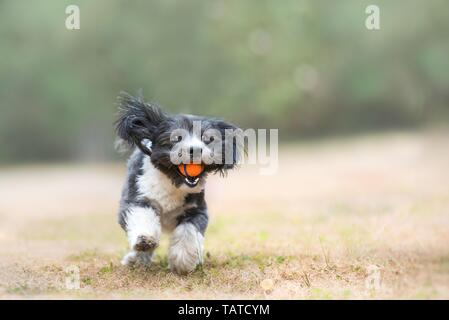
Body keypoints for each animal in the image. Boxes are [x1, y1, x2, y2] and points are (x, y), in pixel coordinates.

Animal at [114, 92, 242, 276]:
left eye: (208, 139)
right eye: (176, 138)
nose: (195, 149)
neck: (172, 182)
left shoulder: (196, 210)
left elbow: (188, 232)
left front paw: (182, 261)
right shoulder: (136, 198)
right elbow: (142, 215)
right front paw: (145, 239)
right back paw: (136, 259)